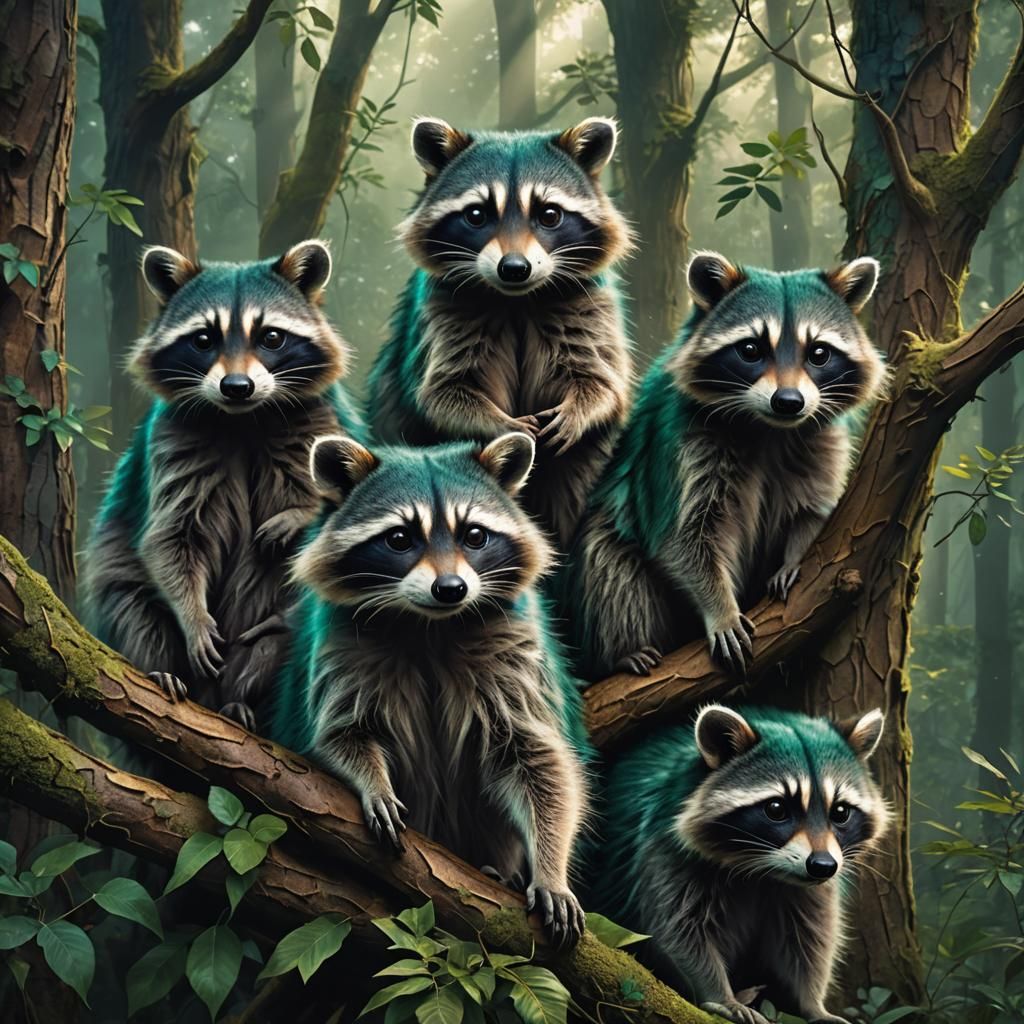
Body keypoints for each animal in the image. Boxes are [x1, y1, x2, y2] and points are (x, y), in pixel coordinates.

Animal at [81, 240, 364, 730]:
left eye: (271, 337)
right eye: (203, 339)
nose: (237, 386)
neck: (244, 418)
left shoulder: (318, 421)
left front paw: (296, 516)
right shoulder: (174, 441)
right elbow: (171, 538)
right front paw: (193, 617)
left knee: (280, 634)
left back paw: (245, 699)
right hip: (123, 590)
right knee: (135, 611)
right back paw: (162, 670)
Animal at [271, 432, 591, 947]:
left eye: (474, 536)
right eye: (400, 539)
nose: (451, 588)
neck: (430, 625)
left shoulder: (515, 647)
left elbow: (538, 759)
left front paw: (551, 867)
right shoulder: (343, 644)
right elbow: (338, 735)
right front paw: (372, 780)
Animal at [366, 116, 634, 547]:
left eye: (549, 214)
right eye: (476, 214)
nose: (514, 268)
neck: (517, 300)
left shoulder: (589, 305)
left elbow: (601, 381)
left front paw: (581, 408)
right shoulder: (442, 312)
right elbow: (441, 394)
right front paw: (500, 423)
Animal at [561, 252, 886, 679]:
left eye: (819, 353)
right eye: (750, 349)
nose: (788, 402)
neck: (770, 429)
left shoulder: (822, 442)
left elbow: (814, 514)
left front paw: (795, 556)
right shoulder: (681, 443)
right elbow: (683, 538)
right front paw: (720, 608)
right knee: (609, 565)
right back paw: (622, 653)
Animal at [588, 704, 889, 1024]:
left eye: (841, 812)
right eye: (776, 809)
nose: (822, 866)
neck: (763, 870)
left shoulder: (810, 888)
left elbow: (810, 942)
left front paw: (811, 1005)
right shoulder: (664, 852)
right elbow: (678, 933)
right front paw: (719, 994)